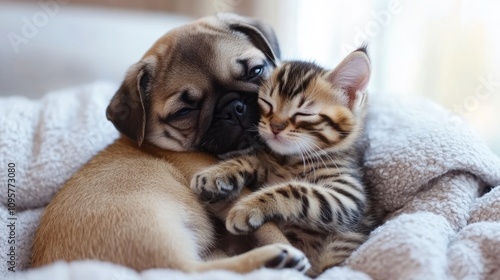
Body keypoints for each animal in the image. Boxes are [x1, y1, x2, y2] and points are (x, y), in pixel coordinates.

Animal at [31, 13, 308, 274]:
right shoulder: (227, 195)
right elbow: (265, 224)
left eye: (256, 71)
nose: (234, 108)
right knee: (197, 270)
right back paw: (277, 258)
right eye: (185, 111)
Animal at [191, 48, 376, 276]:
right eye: (267, 103)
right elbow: (251, 159)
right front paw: (217, 174)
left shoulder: (347, 193)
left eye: (303, 113)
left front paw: (247, 208)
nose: (275, 127)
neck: (289, 161)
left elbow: (296, 189)